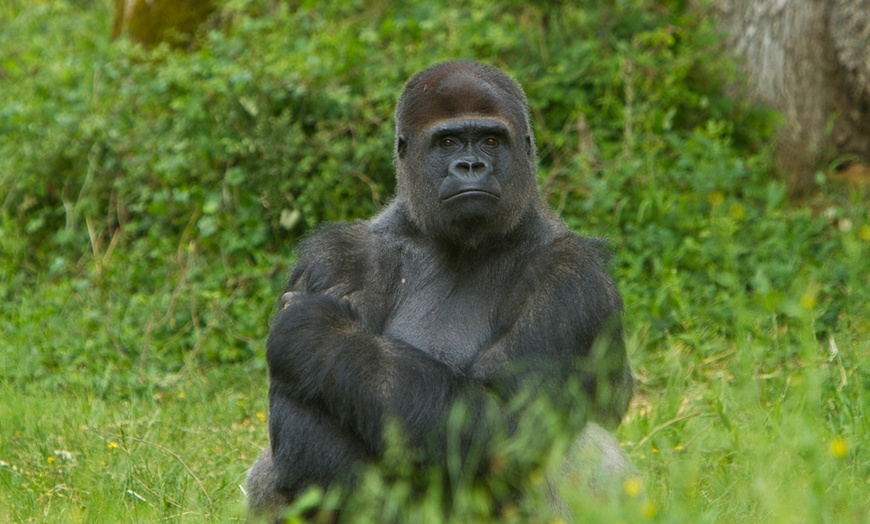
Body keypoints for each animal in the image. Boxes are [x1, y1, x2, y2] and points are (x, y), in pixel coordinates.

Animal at [249, 59, 636, 516]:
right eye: (448, 142)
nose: (470, 167)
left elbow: (511, 419)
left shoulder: (573, 280)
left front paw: (320, 333)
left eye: (490, 140)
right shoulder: (336, 257)